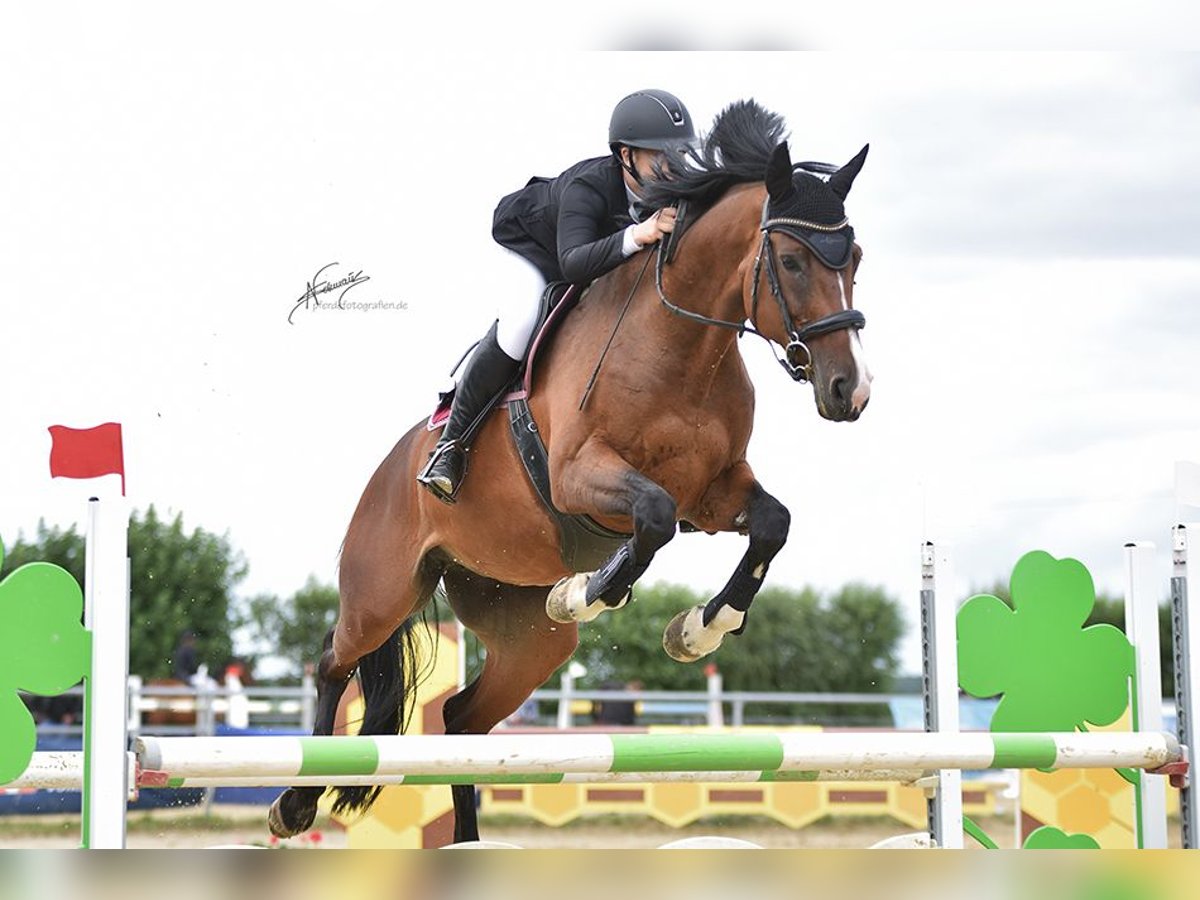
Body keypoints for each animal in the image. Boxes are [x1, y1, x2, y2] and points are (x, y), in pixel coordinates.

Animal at [270, 100, 873, 844]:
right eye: (790, 260)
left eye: (855, 258)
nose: (850, 390)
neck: (680, 349)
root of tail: (388, 471)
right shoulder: (581, 478)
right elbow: (651, 519)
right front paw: (588, 591)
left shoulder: (712, 491)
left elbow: (770, 523)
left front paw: (700, 628)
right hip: (382, 591)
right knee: (335, 658)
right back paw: (295, 803)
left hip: (527, 636)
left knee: (461, 719)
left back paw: (464, 839)